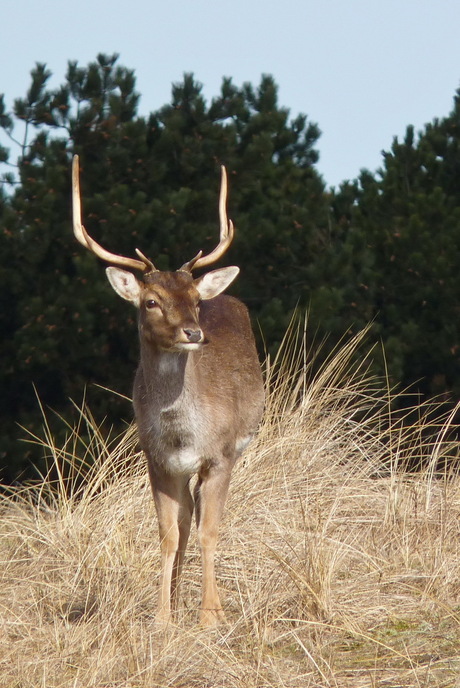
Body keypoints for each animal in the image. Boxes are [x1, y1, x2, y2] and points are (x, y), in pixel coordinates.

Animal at [73, 157, 266, 628]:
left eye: (194, 298)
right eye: (151, 301)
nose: (193, 332)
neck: (182, 433)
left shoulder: (221, 455)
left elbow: (209, 530)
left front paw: (211, 614)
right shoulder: (157, 461)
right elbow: (168, 534)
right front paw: (163, 614)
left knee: (199, 519)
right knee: (184, 521)